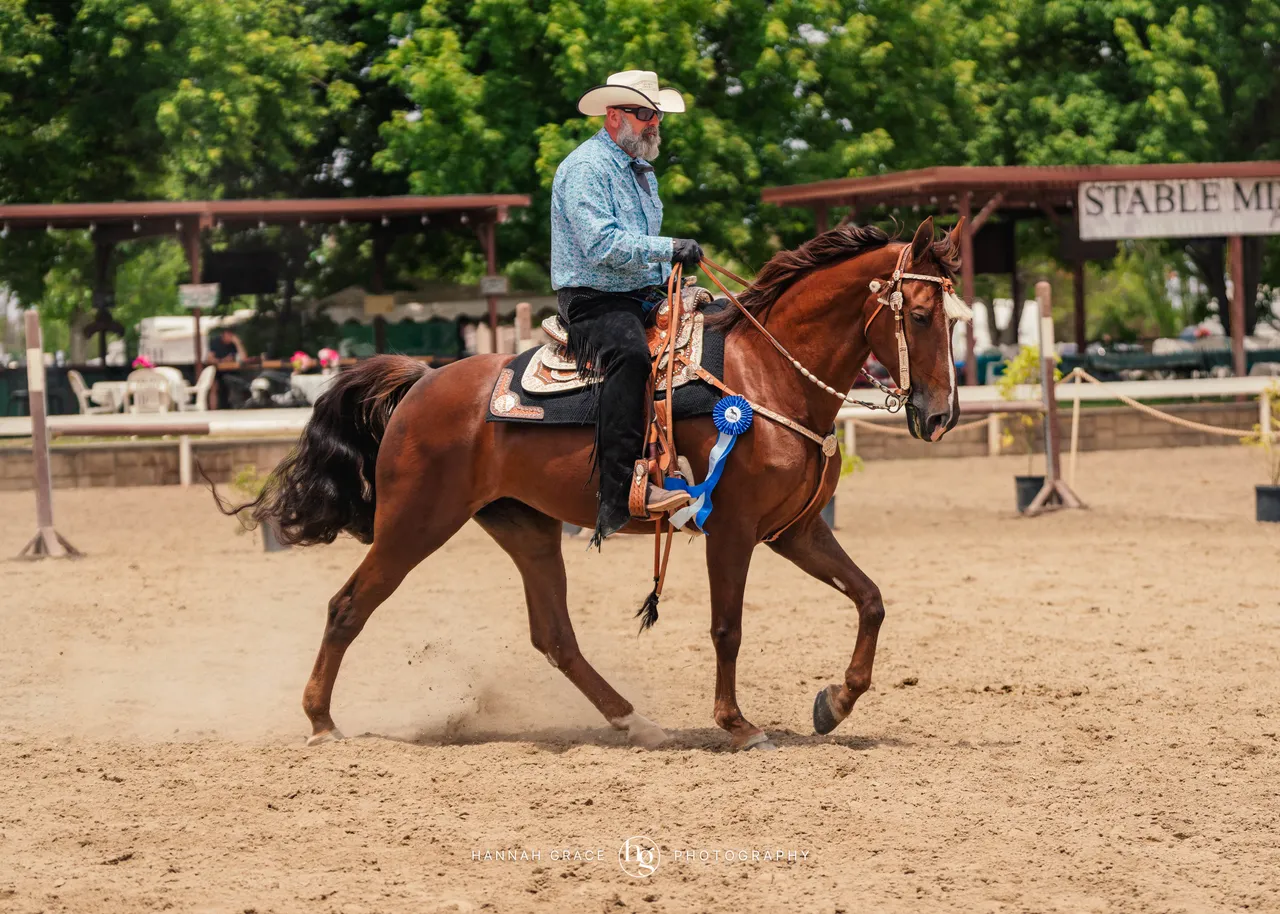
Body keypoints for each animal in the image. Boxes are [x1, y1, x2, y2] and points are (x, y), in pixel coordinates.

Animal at [218, 217, 968, 752]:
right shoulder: (731, 529)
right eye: (920, 315)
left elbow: (870, 599)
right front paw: (738, 724)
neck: (768, 374)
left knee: (555, 636)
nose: (938, 416)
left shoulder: (795, 529)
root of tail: (425, 379)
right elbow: (728, 627)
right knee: (348, 606)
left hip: (524, 527)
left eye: (955, 317)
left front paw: (834, 704)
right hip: (415, 523)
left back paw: (636, 723)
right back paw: (321, 722)